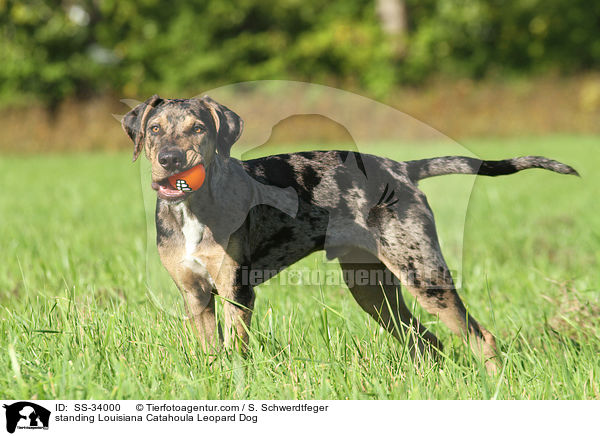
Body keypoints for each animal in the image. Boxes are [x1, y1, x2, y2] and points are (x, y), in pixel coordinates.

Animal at [120, 94, 576, 372]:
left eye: (198, 128)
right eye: (155, 129)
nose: (170, 159)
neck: (191, 210)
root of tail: (403, 169)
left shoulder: (237, 289)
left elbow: (236, 351)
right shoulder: (195, 294)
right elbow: (211, 352)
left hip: (423, 275)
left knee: (482, 337)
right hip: (372, 289)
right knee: (427, 342)